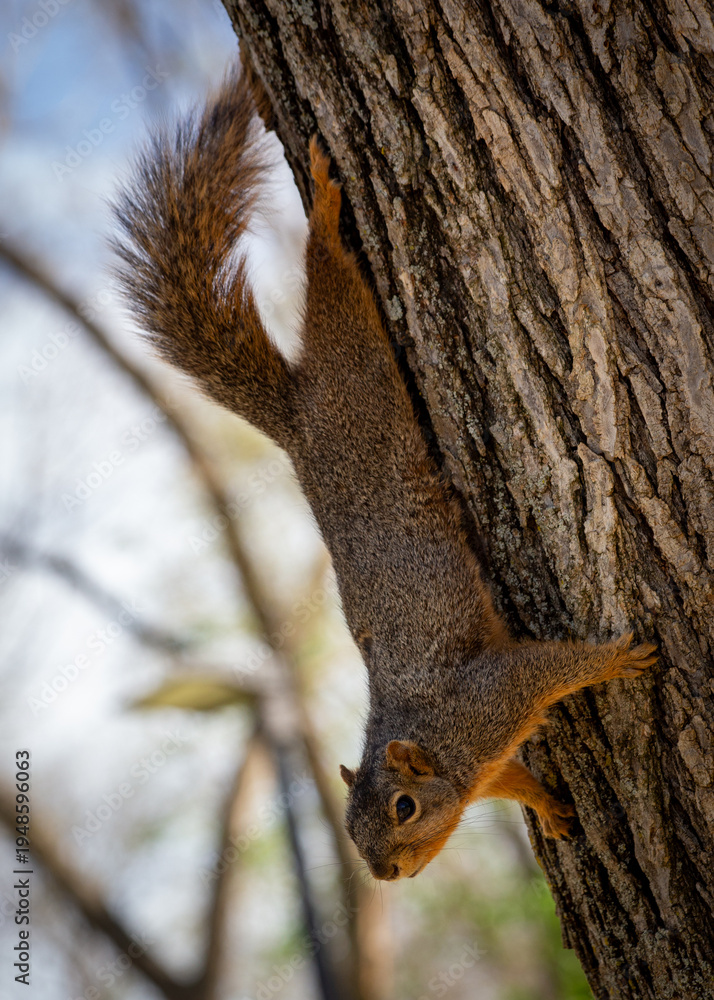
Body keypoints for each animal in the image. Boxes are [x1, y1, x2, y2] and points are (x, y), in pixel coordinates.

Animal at [112, 65, 657, 881]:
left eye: (403, 809)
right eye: (349, 827)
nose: (384, 874)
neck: (447, 754)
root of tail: (300, 417)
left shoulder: (492, 697)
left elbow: (553, 667)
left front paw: (616, 659)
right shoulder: (484, 759)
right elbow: (517, 779)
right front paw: (550, 808)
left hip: (355, 358)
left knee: (332, 278)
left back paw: (325, 211)